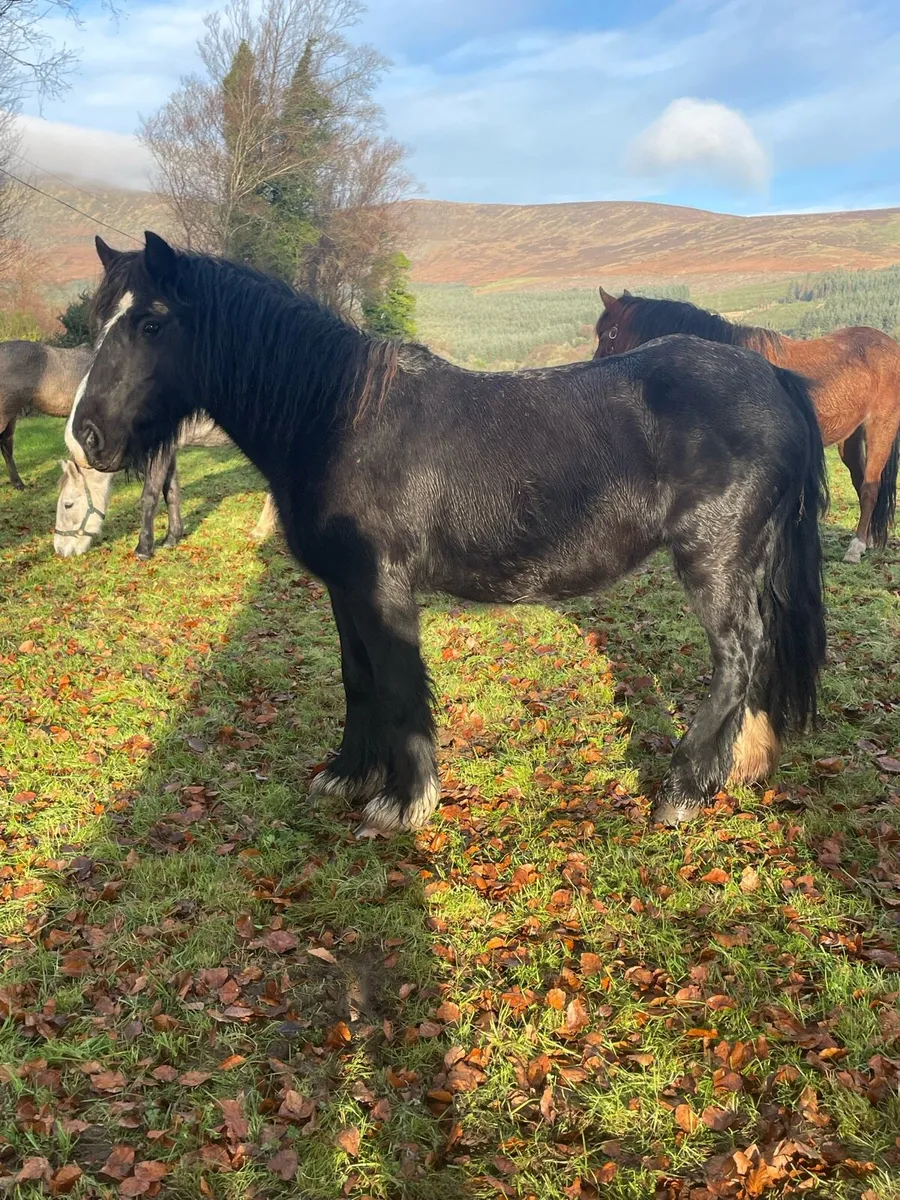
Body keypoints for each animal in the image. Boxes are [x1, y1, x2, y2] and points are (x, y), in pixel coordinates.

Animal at [54, 414, 233, 559]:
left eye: (68, 505)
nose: (60, 550)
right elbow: (171, 492)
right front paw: (171, 538)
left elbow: (149, 497)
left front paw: (143, 550)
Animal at [594, 287, 900, 565]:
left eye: (610, 332)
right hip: (851, 438)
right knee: (861, 482)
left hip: (880, 428)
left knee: (870, 487)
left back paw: (856, 548)